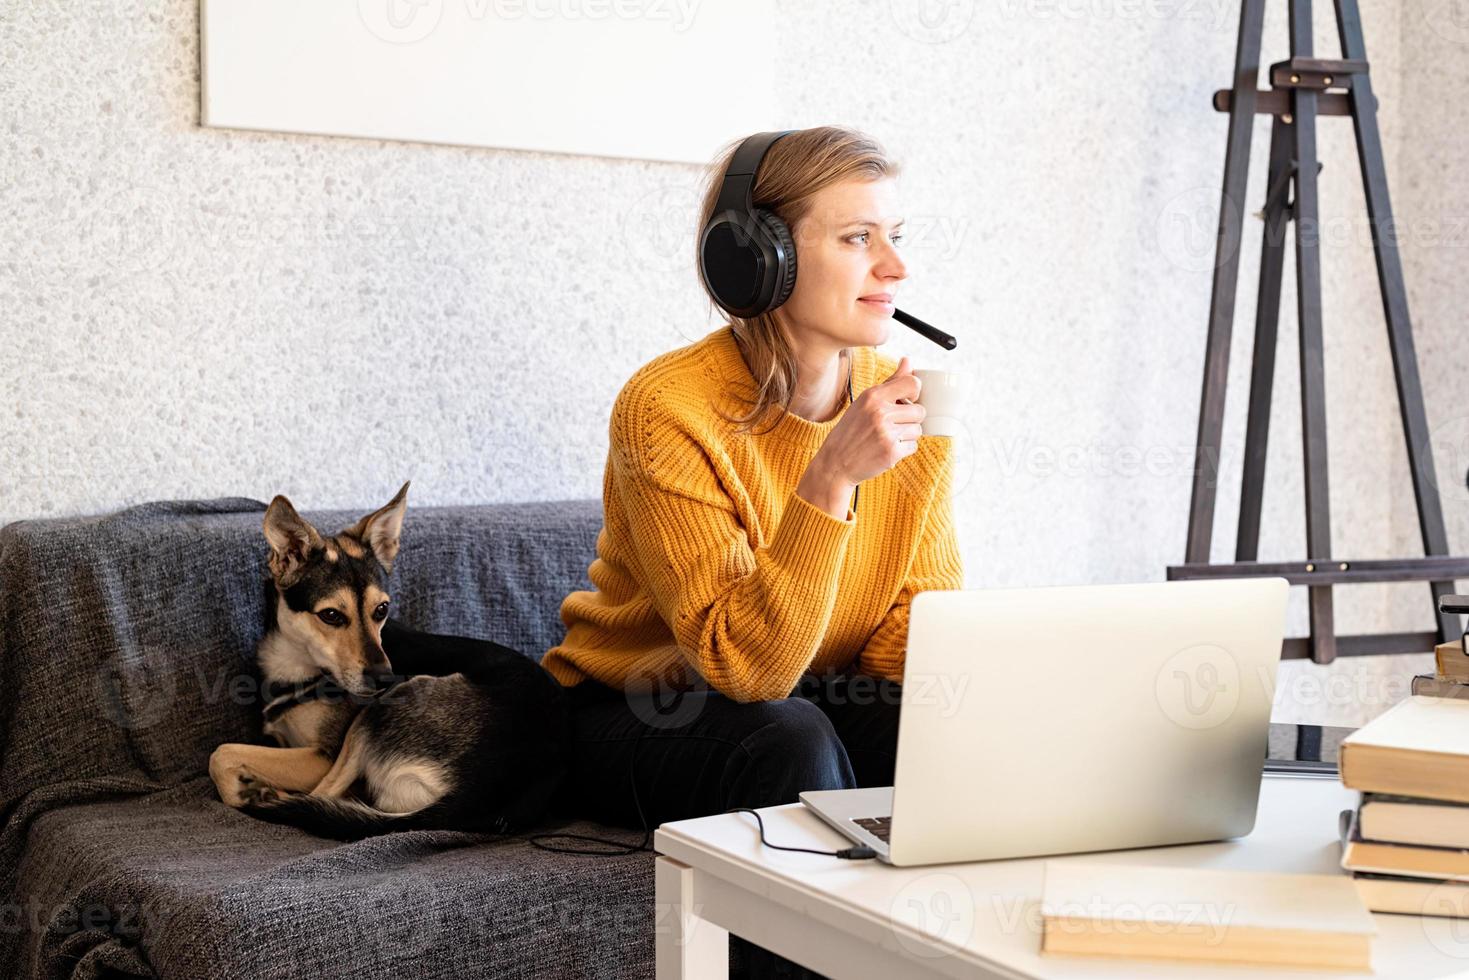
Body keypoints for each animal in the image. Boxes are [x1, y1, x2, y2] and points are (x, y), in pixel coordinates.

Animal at [207, 481, 567, 834]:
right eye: (331, 616)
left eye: (381, 610)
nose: (383, 677)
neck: (298, 665)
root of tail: (478, 797)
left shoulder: (321, 757)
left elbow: (221, 754)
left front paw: (246, 790)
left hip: (383, 708)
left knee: (323, 794)